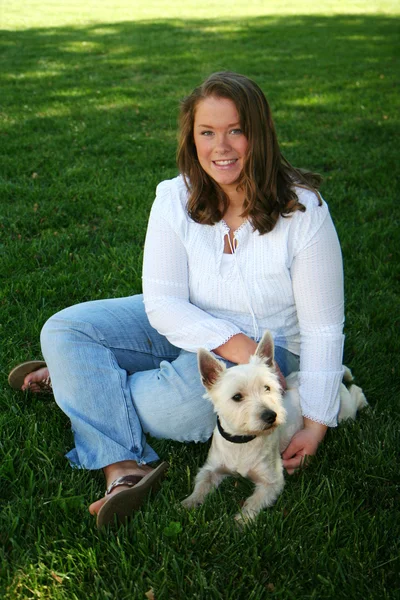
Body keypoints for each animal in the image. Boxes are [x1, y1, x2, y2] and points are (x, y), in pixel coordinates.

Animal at [183, 330, 368, 524]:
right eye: (237, 397)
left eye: (267, 388)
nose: (271, 416)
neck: (244, 440)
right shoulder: (211, 468)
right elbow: (202, 483)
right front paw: (189, 503)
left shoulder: (272, 481)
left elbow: (254, 501)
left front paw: (241, 521)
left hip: (344, 412)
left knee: (355, 393)